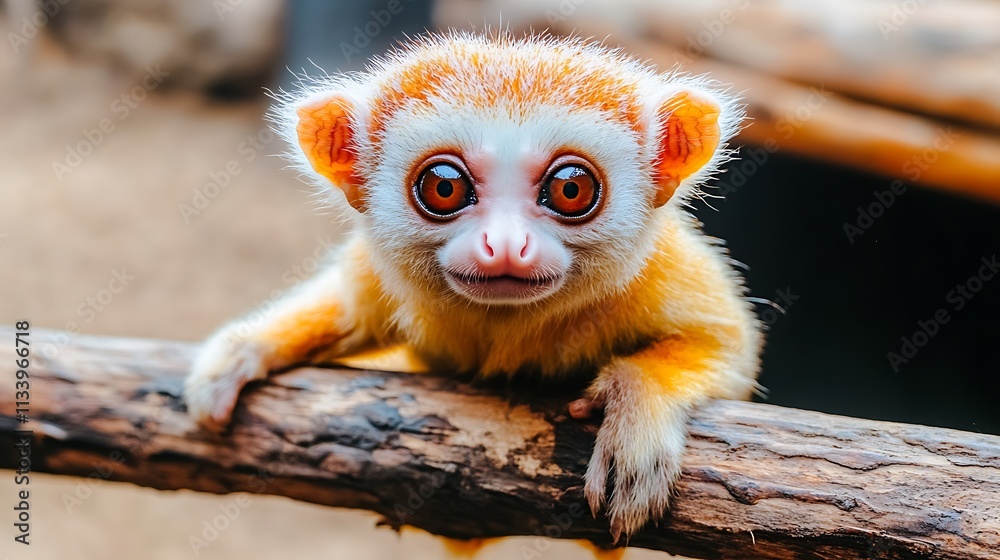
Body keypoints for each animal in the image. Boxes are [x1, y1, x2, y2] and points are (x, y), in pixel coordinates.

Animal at [184, 32, 762, 542]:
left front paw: (638, 408)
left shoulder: (660, 270)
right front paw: (248, 349)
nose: (504, 246)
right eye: (445, 187)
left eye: (571, 189)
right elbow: (348, 307)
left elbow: (733, 350)